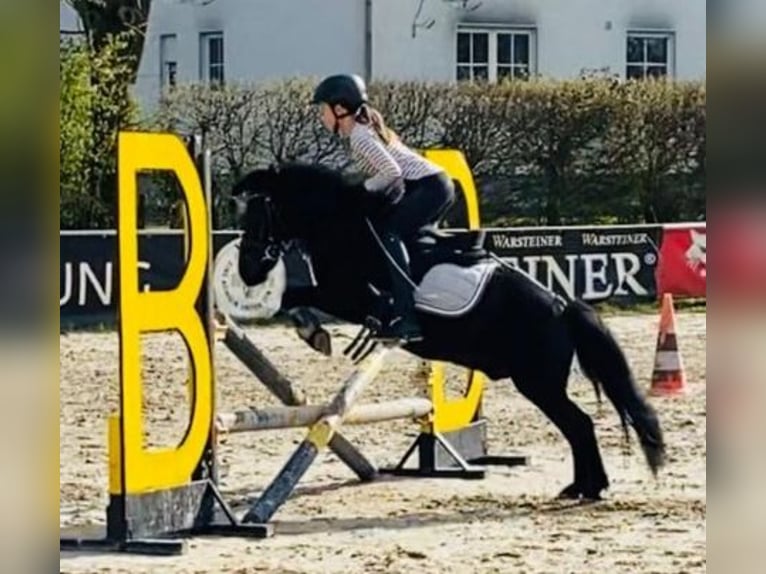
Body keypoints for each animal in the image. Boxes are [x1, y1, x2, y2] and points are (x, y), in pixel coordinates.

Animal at [231, 163, 664, 504]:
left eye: (258, 215)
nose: (247, 270)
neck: (342, 225)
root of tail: (561, 306)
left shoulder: (347, 294)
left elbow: (295, 293)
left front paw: (312, 330)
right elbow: (296, 295)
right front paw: (311, 329)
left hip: (537, 383)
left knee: (579, 424)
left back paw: (589, 487)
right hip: (540, 383)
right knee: (579, 425)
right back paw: (582, 486)